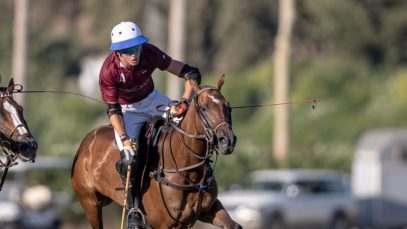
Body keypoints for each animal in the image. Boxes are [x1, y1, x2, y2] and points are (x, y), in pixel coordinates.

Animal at [71, 77, 242, 229]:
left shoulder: (210, 209)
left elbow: (235, 226)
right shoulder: (162, 223)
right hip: (90, 202)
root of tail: (87, 140)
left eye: (228, 106)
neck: (187, 169)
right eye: (204, 108)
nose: (227, 141)